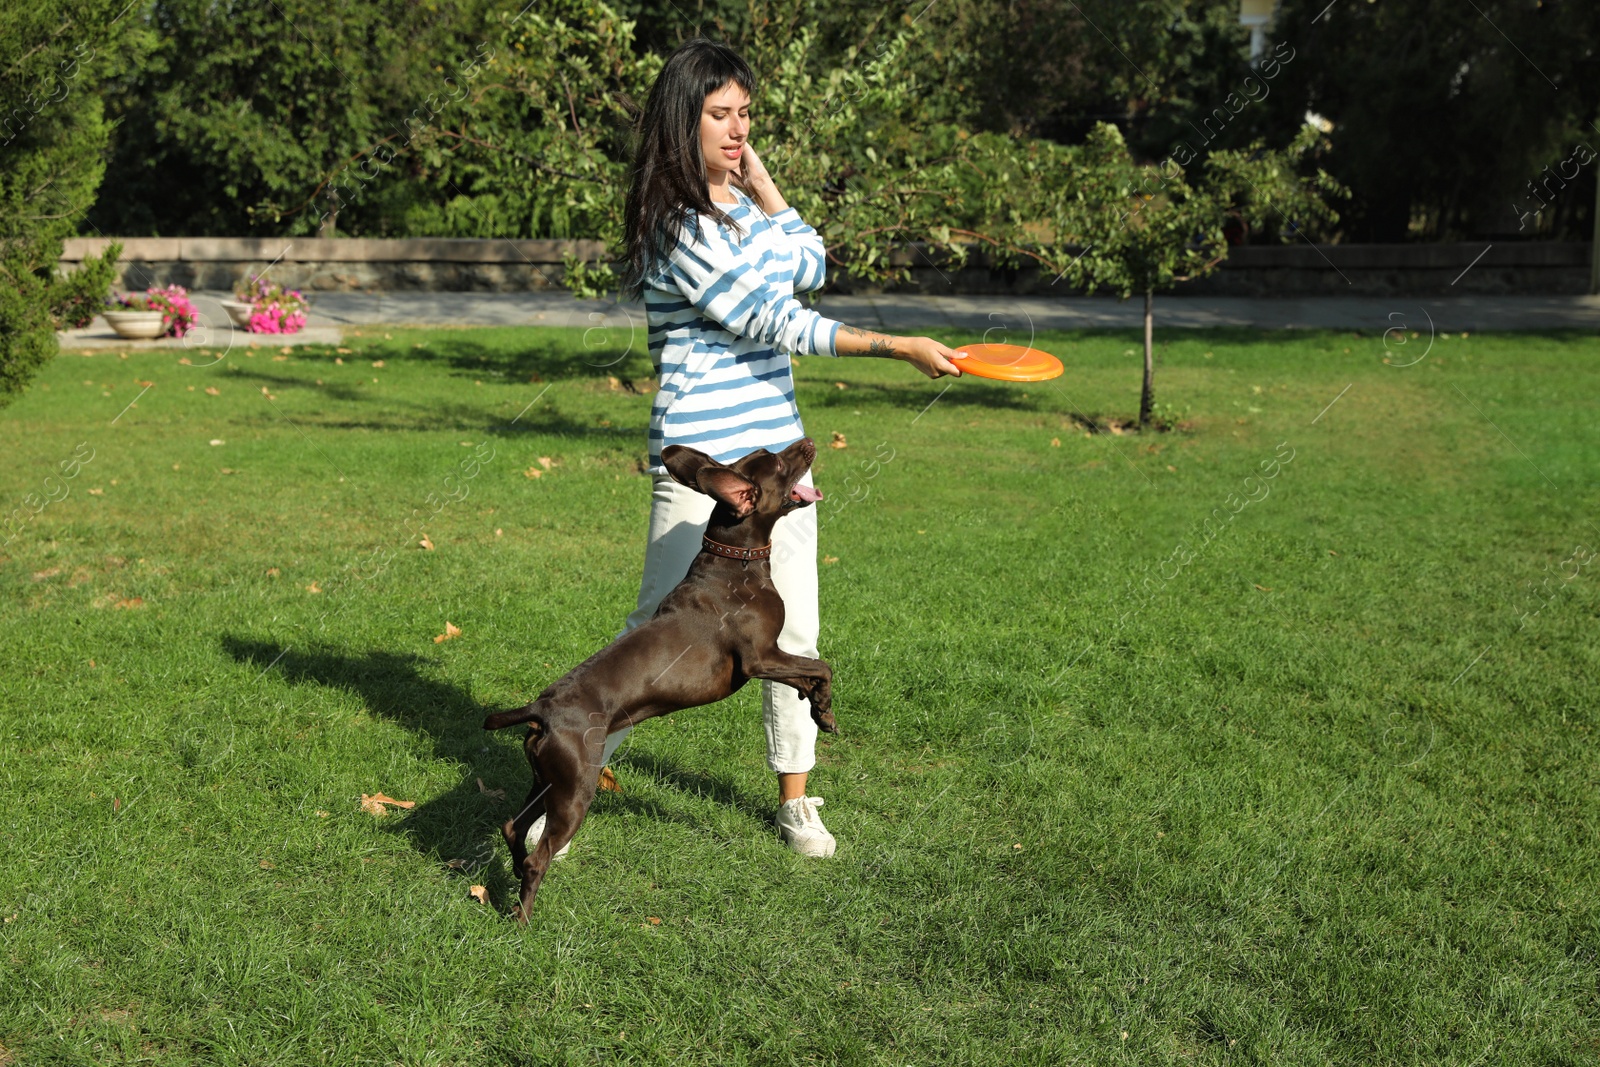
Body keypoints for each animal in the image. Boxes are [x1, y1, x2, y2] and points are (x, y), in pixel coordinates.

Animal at [476, 438, 832, 921]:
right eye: (778, 462)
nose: (808, 442)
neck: (735, 562)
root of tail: (540, 709)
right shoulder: (760, 659)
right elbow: (821, 667)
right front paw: (826, 709)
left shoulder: (771, 660)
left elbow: (806, 678)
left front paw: (818, 709)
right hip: (574, 791)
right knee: (538, 857)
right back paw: (524, 919)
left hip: (545, 781)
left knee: (513, 827)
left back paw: (511, 877)